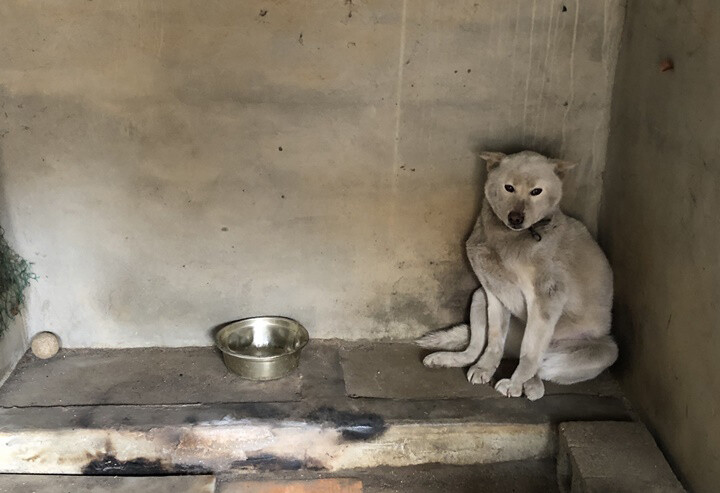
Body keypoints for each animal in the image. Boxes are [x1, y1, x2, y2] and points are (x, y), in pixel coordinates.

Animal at [420, 150, 616, 400]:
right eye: (509, 188)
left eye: (536, 191)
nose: (515, 218)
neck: (511, 239)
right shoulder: (493, 293)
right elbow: (493, 341)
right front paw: (485, 369)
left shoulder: (545, 299)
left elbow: (529, 352)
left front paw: (514, 384)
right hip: (478, 298)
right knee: (474, 348)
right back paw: (448, 359)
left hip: (600, 351)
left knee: (540, 367)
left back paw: (530, 386)